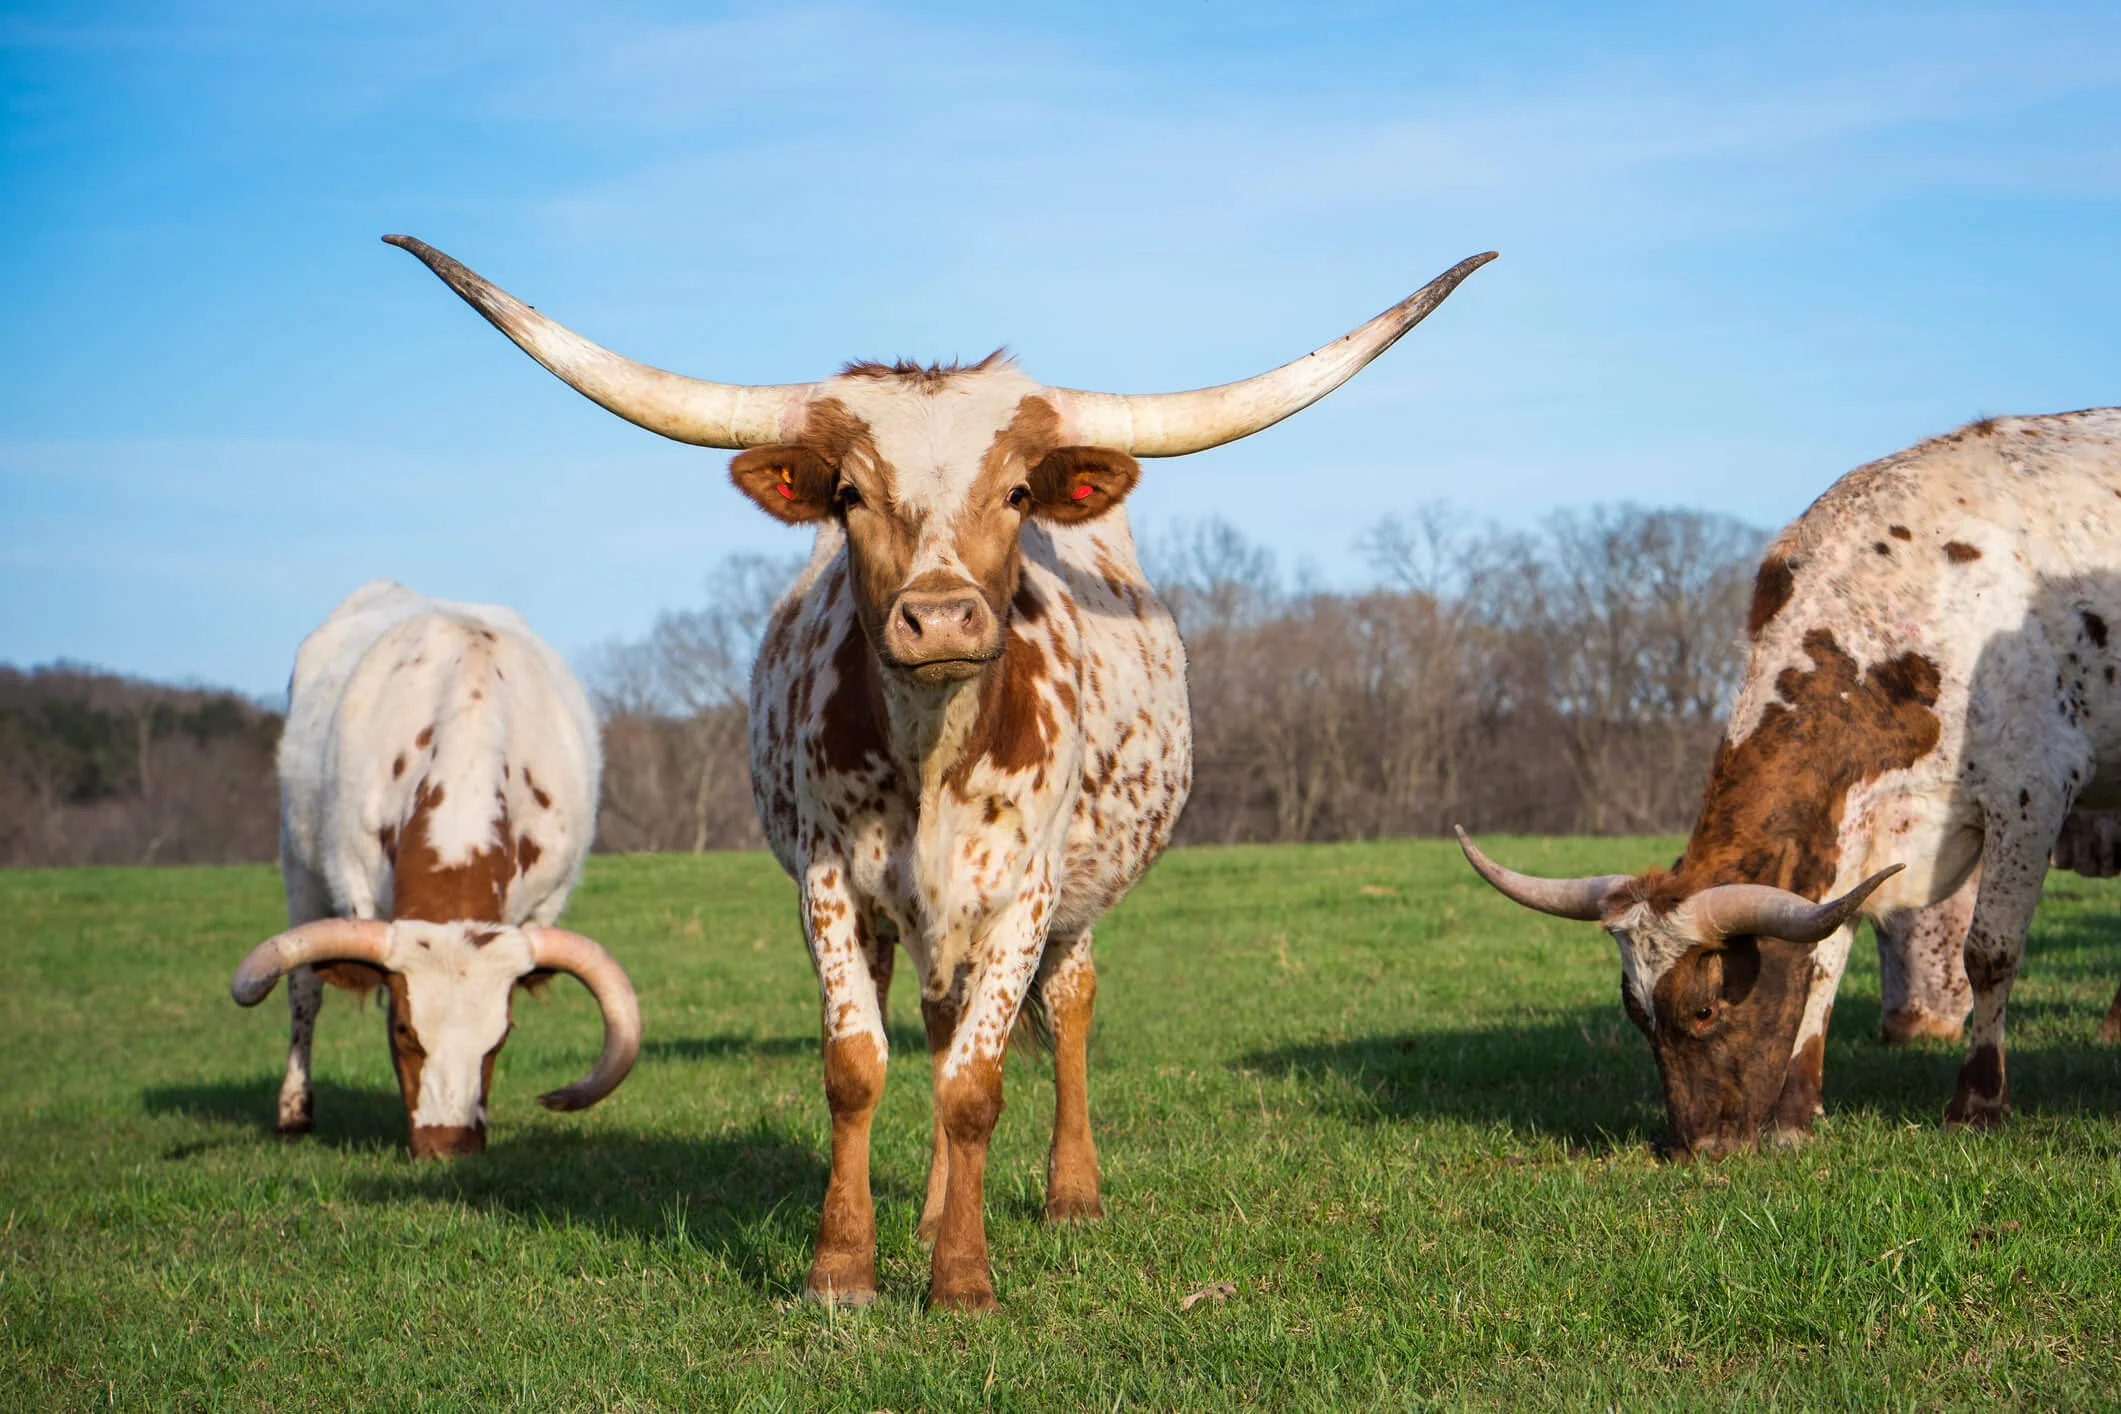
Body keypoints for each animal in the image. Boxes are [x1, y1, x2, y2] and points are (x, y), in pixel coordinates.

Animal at [231, 581, 641, 1159]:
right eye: (403, 1030)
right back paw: (294, 1112)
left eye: (502, 1035)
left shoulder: (543, 905)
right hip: (298, 866)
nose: (448, 1147)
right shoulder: (355, 888)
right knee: (304, 994)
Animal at [386, 234, 1494, 1307]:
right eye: (848, 495)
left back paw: (1071, 1194)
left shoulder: (1024, 897)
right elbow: (858, 1067)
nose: (943, 617)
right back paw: (922, 1213)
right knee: (932, 1021)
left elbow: (976, 1086)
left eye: (1014, 492)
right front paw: (845, 1269)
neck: (932, 759)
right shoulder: (832, 887)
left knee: (1070, 1006)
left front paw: (963, 1279)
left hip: (1072, 901)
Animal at [1459, 408, 2121, 1159]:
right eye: (1636, 1015)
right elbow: (1822, 956)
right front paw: (1794, 1114)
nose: (1695, 1147)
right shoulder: (1852, 822)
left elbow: (1988, 952)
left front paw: (1977, 1102)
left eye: (1705, 1008)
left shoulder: (2030, 792)